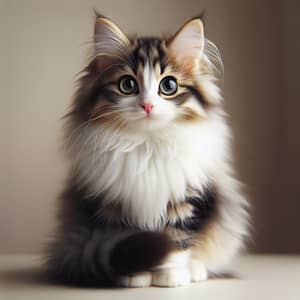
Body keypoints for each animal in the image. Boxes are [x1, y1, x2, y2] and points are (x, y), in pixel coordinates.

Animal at [44, 13, 248, 288]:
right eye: (127, 84)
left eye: (169, 85)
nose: (147, 105)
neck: (148, 145)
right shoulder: (114, 205)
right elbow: (127, 241)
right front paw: (135, 275)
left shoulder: (188, 200)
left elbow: (176, 241)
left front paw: (170, 275)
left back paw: (196, 270)